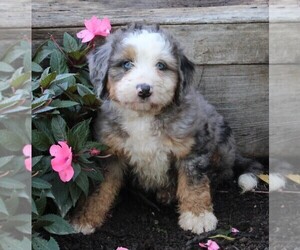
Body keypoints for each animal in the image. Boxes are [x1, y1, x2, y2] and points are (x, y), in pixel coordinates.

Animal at [72, 23, 262, 234]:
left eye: (161, 65)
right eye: (127, 64)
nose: (144, 89)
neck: (143, 116)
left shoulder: (192, 149)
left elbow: (194, 182)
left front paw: (198, 216)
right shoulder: (109, 152)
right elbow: (99, 187)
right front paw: (85, 218)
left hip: (221, 140)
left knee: (220, 175)